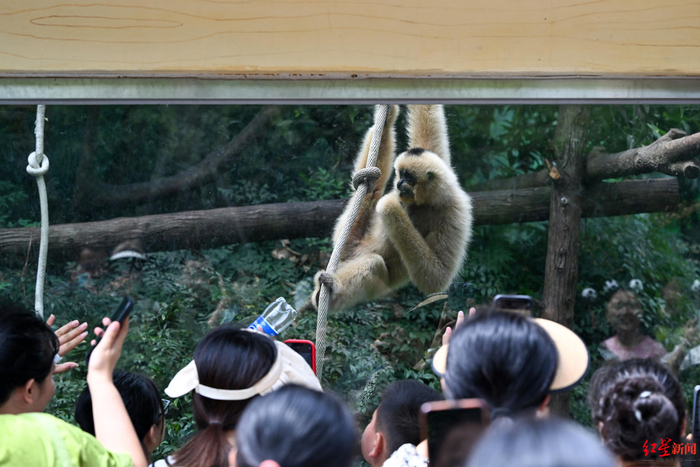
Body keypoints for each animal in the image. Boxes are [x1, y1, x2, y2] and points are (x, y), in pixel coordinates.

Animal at [312, 104, 473, 313]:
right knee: (371, 192)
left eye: (409, 178)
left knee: (373, 263)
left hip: (377, 281)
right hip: (351, 237)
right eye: (401, 174)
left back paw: (331, 293)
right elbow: (428, 117)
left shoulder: (456, 213)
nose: (398, 184)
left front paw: (389, 206)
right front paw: (389, 113)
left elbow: (437, 278)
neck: (427, 202)